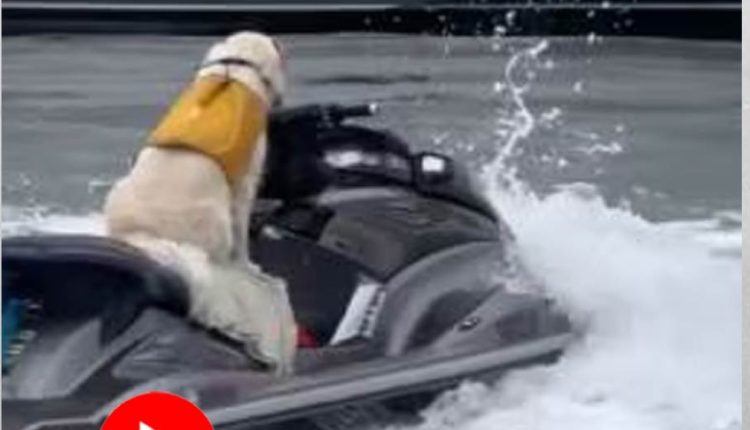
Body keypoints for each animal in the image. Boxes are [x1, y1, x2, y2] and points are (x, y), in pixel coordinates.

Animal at [103, 32, 296, 375]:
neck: (234, 66)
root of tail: (141, 235)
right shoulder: (245, 177)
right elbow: (243, 225)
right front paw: (249, 264)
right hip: (211, 213)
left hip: (118, 190)